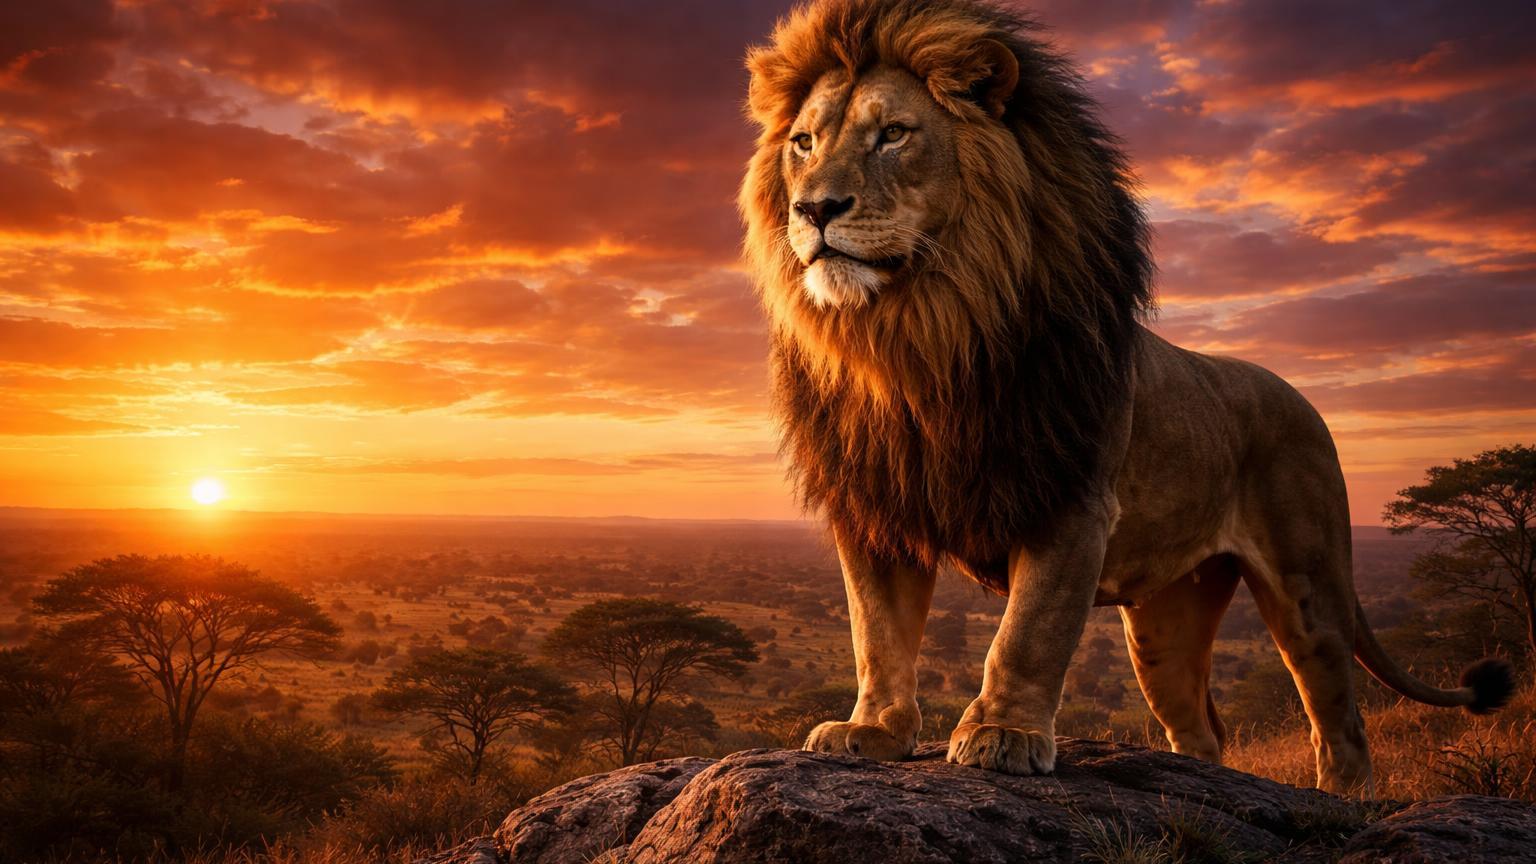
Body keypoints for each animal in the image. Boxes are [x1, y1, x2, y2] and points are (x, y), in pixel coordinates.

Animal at [738, 0, 1513, 796]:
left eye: (893, 133)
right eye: (803, 143)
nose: (813, 209)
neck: (917, 338)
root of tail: (1300, 399)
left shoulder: (1072, 498)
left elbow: (1029, 631)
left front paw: (1003, 735)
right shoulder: (875, 507)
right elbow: (878, 634)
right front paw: (873, 731)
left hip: (1310, 586)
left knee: (1341, 724)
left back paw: (1341, 804)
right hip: (1165, 621)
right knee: (1200, 731)